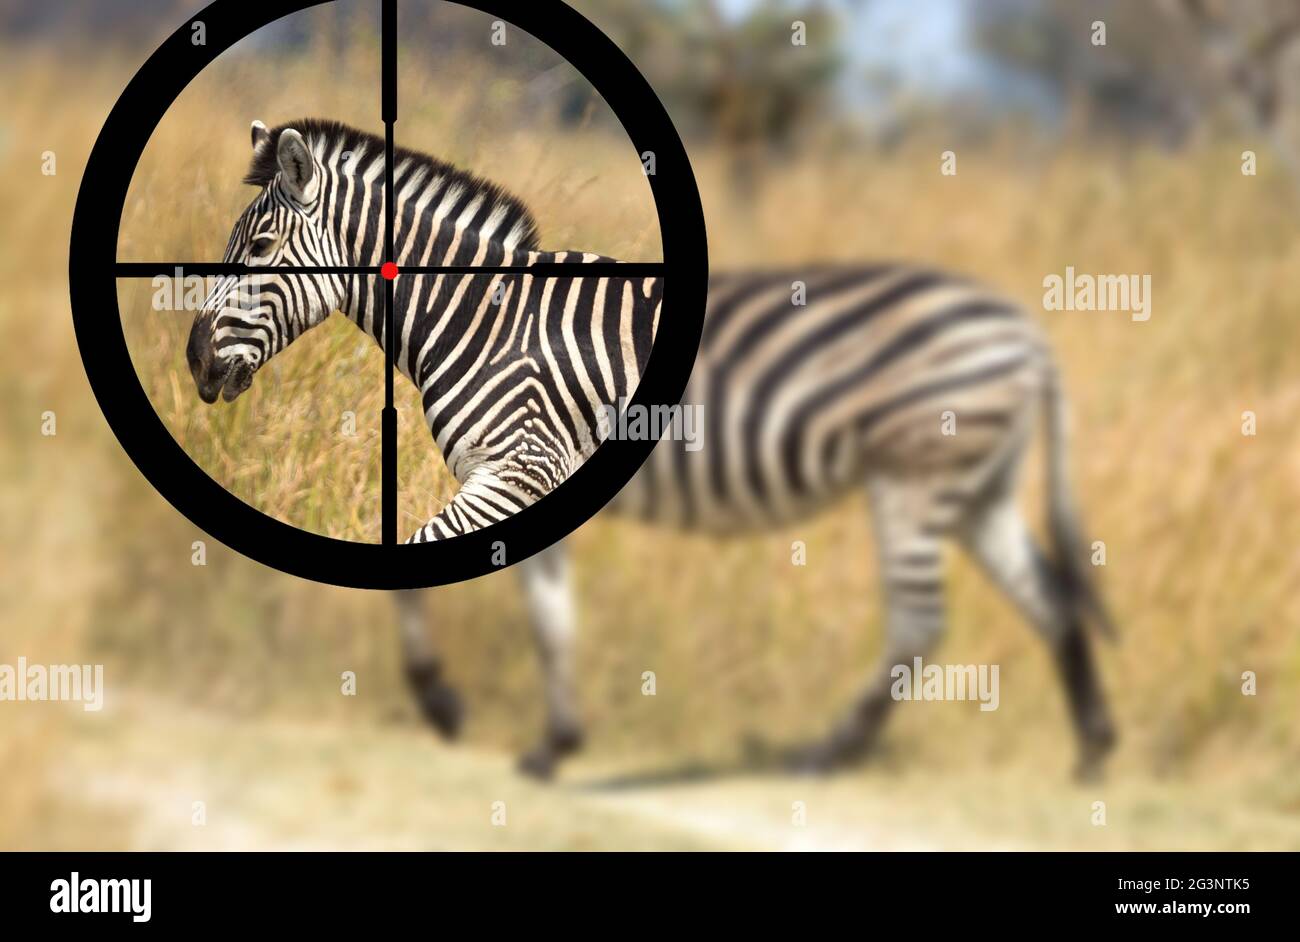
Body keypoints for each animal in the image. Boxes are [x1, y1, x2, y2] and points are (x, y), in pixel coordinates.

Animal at [184, 118, 1116, 783]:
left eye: (258, 250)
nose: (191, 360)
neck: (482, 316)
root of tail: (1021, 327)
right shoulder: (537, 479)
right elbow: (552, 617)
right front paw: (554, 746)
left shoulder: (514, 467)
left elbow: (416, 557)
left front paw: (443, 704)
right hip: (977, 483)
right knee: (1050, 600)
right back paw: (1094, 753)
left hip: (916, 476)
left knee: (923, 620)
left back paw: (825, 757)